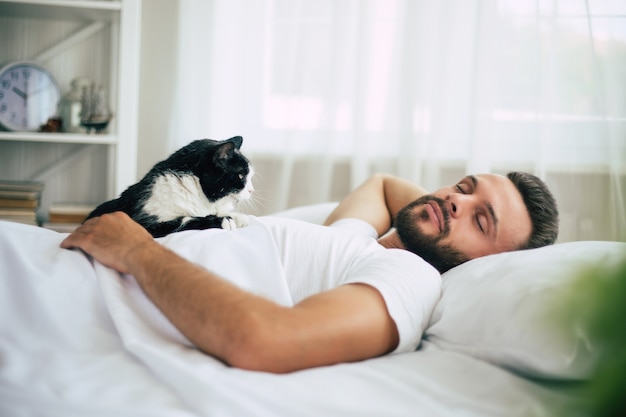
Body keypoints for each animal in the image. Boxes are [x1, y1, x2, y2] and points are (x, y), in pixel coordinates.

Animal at [85, 136, 254, 237]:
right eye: (241, 175)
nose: (251, 190)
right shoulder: (142, 225)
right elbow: (184, 220)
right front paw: (224, 220)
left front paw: (237, 217)